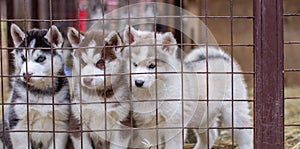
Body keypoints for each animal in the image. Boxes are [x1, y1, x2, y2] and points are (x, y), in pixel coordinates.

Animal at [123, 27, 252, 149]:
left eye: (152, 66)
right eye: (134, 64)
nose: (138, 82)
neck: (152, 93)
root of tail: (222, 57)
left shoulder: (175, 125)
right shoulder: (147, 127)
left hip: (234, 112)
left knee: (246, 133)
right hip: (202, 116)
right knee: (210, 136)